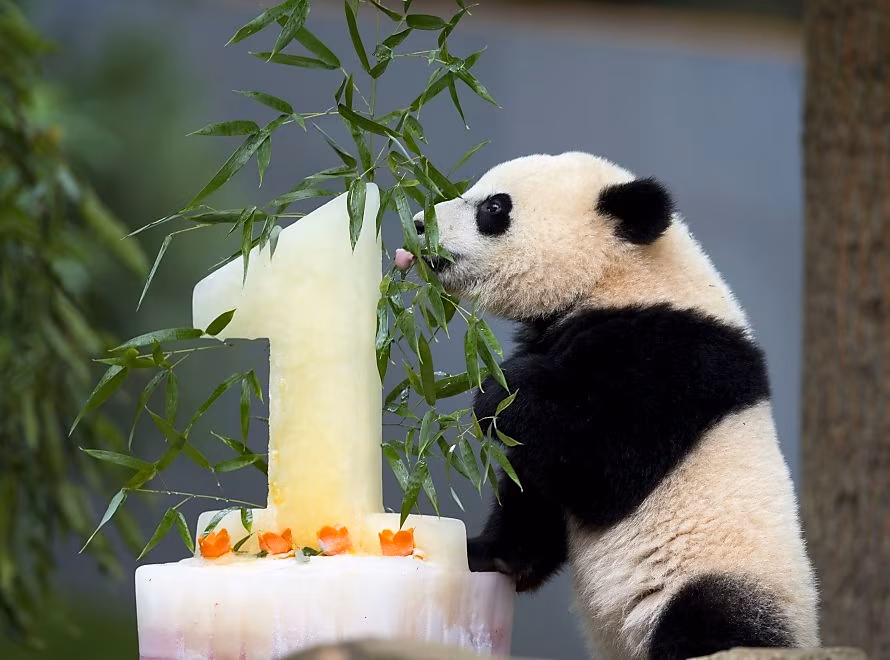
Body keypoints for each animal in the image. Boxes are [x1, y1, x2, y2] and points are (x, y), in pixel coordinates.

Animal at [409, 152, 819, 660]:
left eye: (494, 208)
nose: (418, 224)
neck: (622, 277)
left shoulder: (671, 360)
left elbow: (605, 470)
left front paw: (500, 391)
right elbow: (535, 491)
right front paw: (485, 553)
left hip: (722, 577)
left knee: (710, 623)